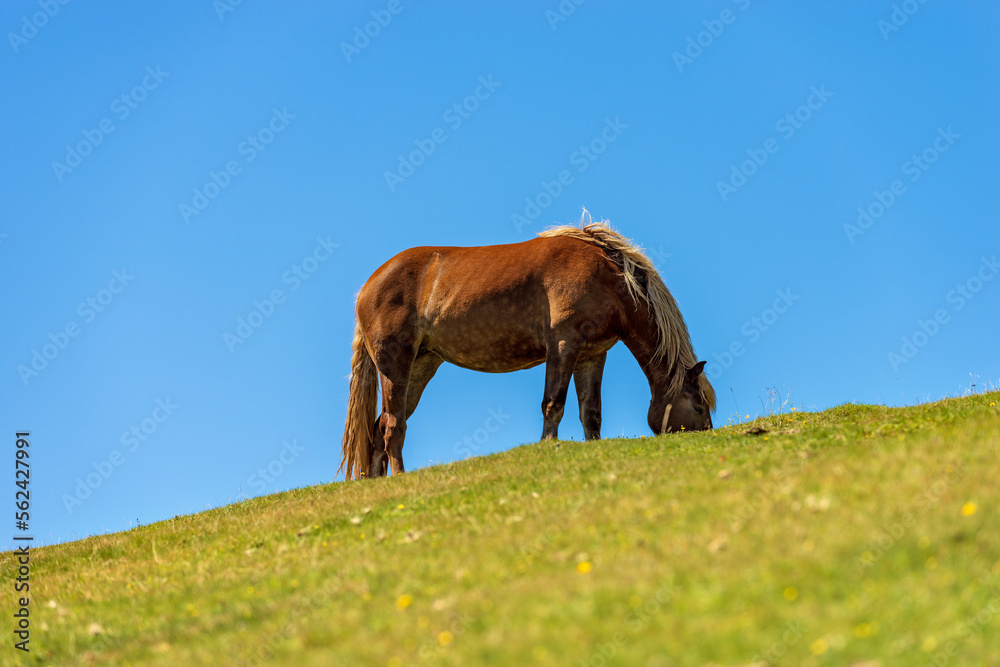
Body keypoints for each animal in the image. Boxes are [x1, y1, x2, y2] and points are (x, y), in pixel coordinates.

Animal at [339, 219, 716, 479]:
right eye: (698, 406)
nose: (709, 437)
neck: (606, 276)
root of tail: (367, 288)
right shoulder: (563, 345)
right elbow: (554, 402)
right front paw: (548, 445)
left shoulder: (593, 355)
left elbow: (591, 411)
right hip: (396, 364)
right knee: (393, 426)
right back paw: (402, 476)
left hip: (422, 365)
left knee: (381, 426)